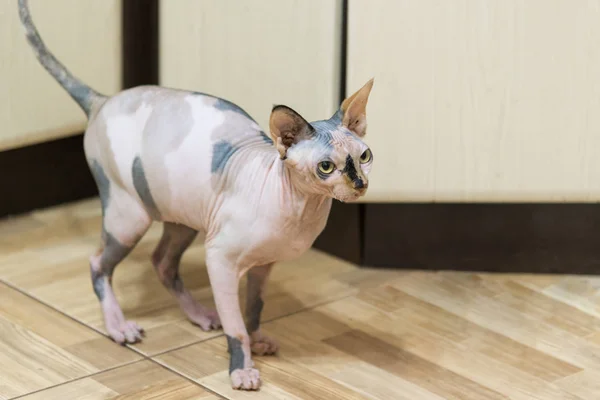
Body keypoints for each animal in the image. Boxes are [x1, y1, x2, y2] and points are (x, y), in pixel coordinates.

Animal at [17, 0, 376, 390]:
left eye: (364, 157)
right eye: (325, 167)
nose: (359, 184)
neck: (300, 212)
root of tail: (103, 100)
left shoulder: (264, 264)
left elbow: (254, 309)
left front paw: (258, 339)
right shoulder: (219, 259)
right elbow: (236, 326)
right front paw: (241, 369)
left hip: (182, 214)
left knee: (162, 262)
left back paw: (199, 315)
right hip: (129, 214)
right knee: (98, 262)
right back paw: (118, 326)